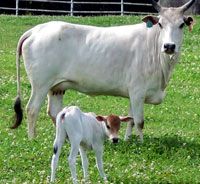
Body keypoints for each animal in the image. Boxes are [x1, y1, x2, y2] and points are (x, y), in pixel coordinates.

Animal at [11, 0, 195, 141]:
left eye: (181, 25)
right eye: (161, 24)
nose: (169, 46)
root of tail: (36, 30)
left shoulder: (133, 93)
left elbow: (131, 119)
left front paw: (128, 139)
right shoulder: (138, 91)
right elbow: (139, 121)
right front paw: (142, 142)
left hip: (56, 87)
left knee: (54, 112)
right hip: (40, 84)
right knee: (32, 109)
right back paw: (32, 138)